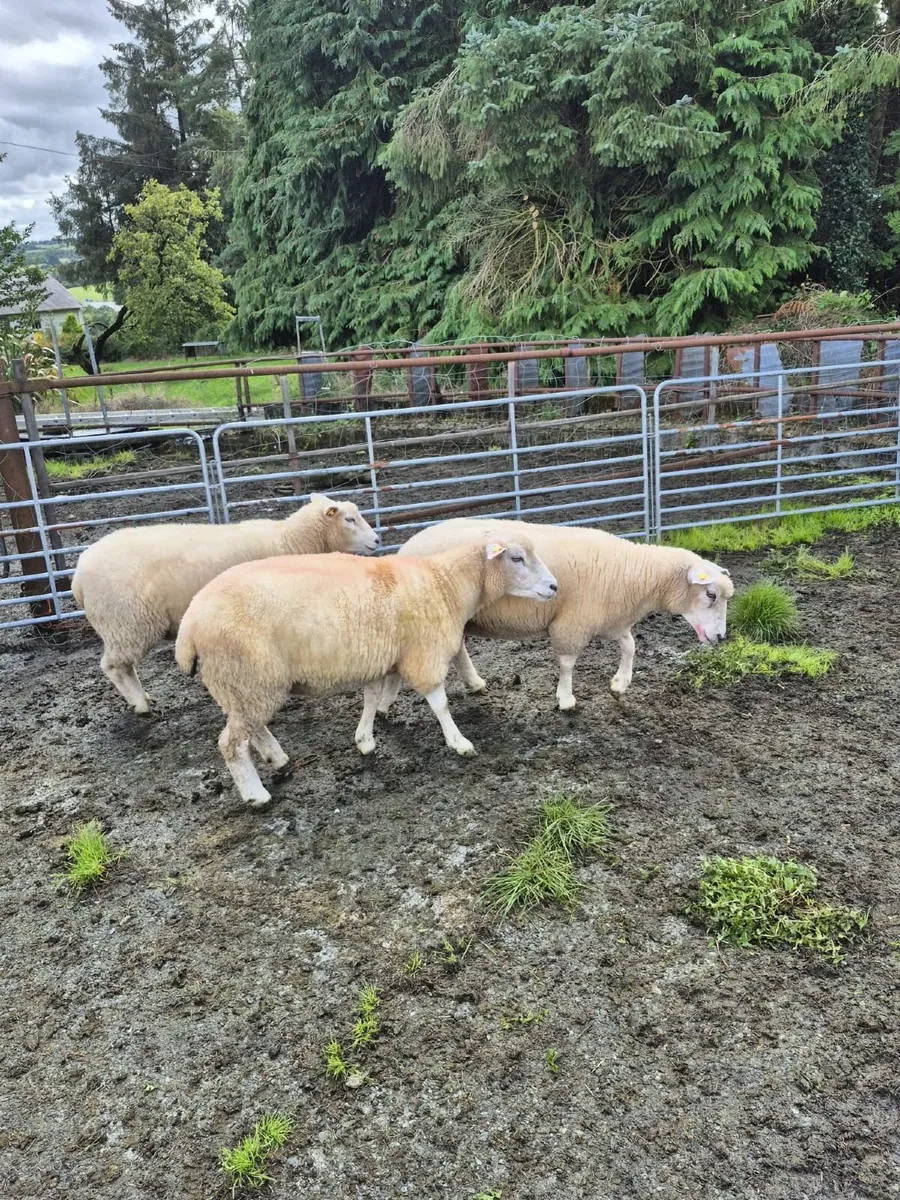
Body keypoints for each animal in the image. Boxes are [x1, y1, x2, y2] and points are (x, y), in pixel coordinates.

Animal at [72, 494, 379, 714]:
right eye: (350, 519)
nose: (377, 540)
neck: (290, 541)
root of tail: (78, 576)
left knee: (123, 666)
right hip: (127, 623)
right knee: (114, 666)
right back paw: (141, 705)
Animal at [174, 537, 558, 807]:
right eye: (516, 557)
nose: (555, 587)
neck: (446, 584)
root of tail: (190, 622)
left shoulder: (387, 653)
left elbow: (373, 697)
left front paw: (365, 739)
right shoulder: (424, 651)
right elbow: (440, 703)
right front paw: (459, 742)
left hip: (244, 683)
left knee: (251, 728)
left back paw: (278, 759)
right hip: (246, 674)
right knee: (231, 743)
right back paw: (256, 795)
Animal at [377, 517, 733, 713]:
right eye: (711, 595)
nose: (720, 637)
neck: (633, 574)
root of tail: (406, 545)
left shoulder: (608, 619)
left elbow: (631, 646)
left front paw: (620, 684)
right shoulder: (573, 622)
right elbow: (567, 664)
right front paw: (565, 699)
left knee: (459, 648)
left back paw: (475, 683)